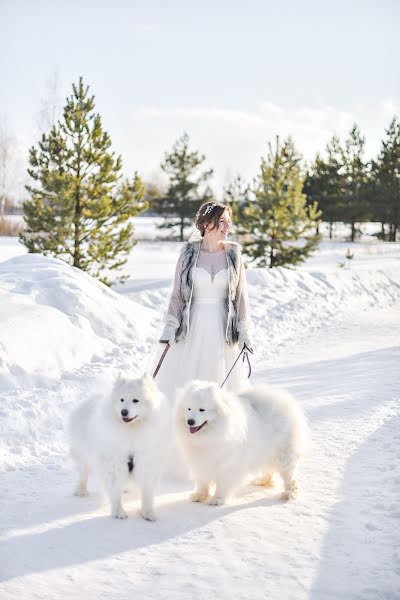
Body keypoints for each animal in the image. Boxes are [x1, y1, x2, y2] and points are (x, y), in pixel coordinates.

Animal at [69, 370, 169, 520]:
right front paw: (119, 512)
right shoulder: (114, 462)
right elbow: (115, 490)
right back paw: (81, 490)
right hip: (83, 453)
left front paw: (148, 513)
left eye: (135, 400)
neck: (131, 430)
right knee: (83, 473)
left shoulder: (147, 462)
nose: (124, 412)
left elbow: (147, 491)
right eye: (121, 400)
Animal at [175, 382, 310, 504]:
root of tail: (284, 400)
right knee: (268, 469)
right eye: (188, 408)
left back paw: (288, 493)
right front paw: (200, 496)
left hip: (284, 455)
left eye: (202, 410)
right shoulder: (200, 462)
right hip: (265, 451)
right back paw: (262, 481)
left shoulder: (227, 464)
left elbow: (222, 483)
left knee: (289, 478)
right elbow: (202, 481)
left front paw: (218, 499)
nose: (190, 421)